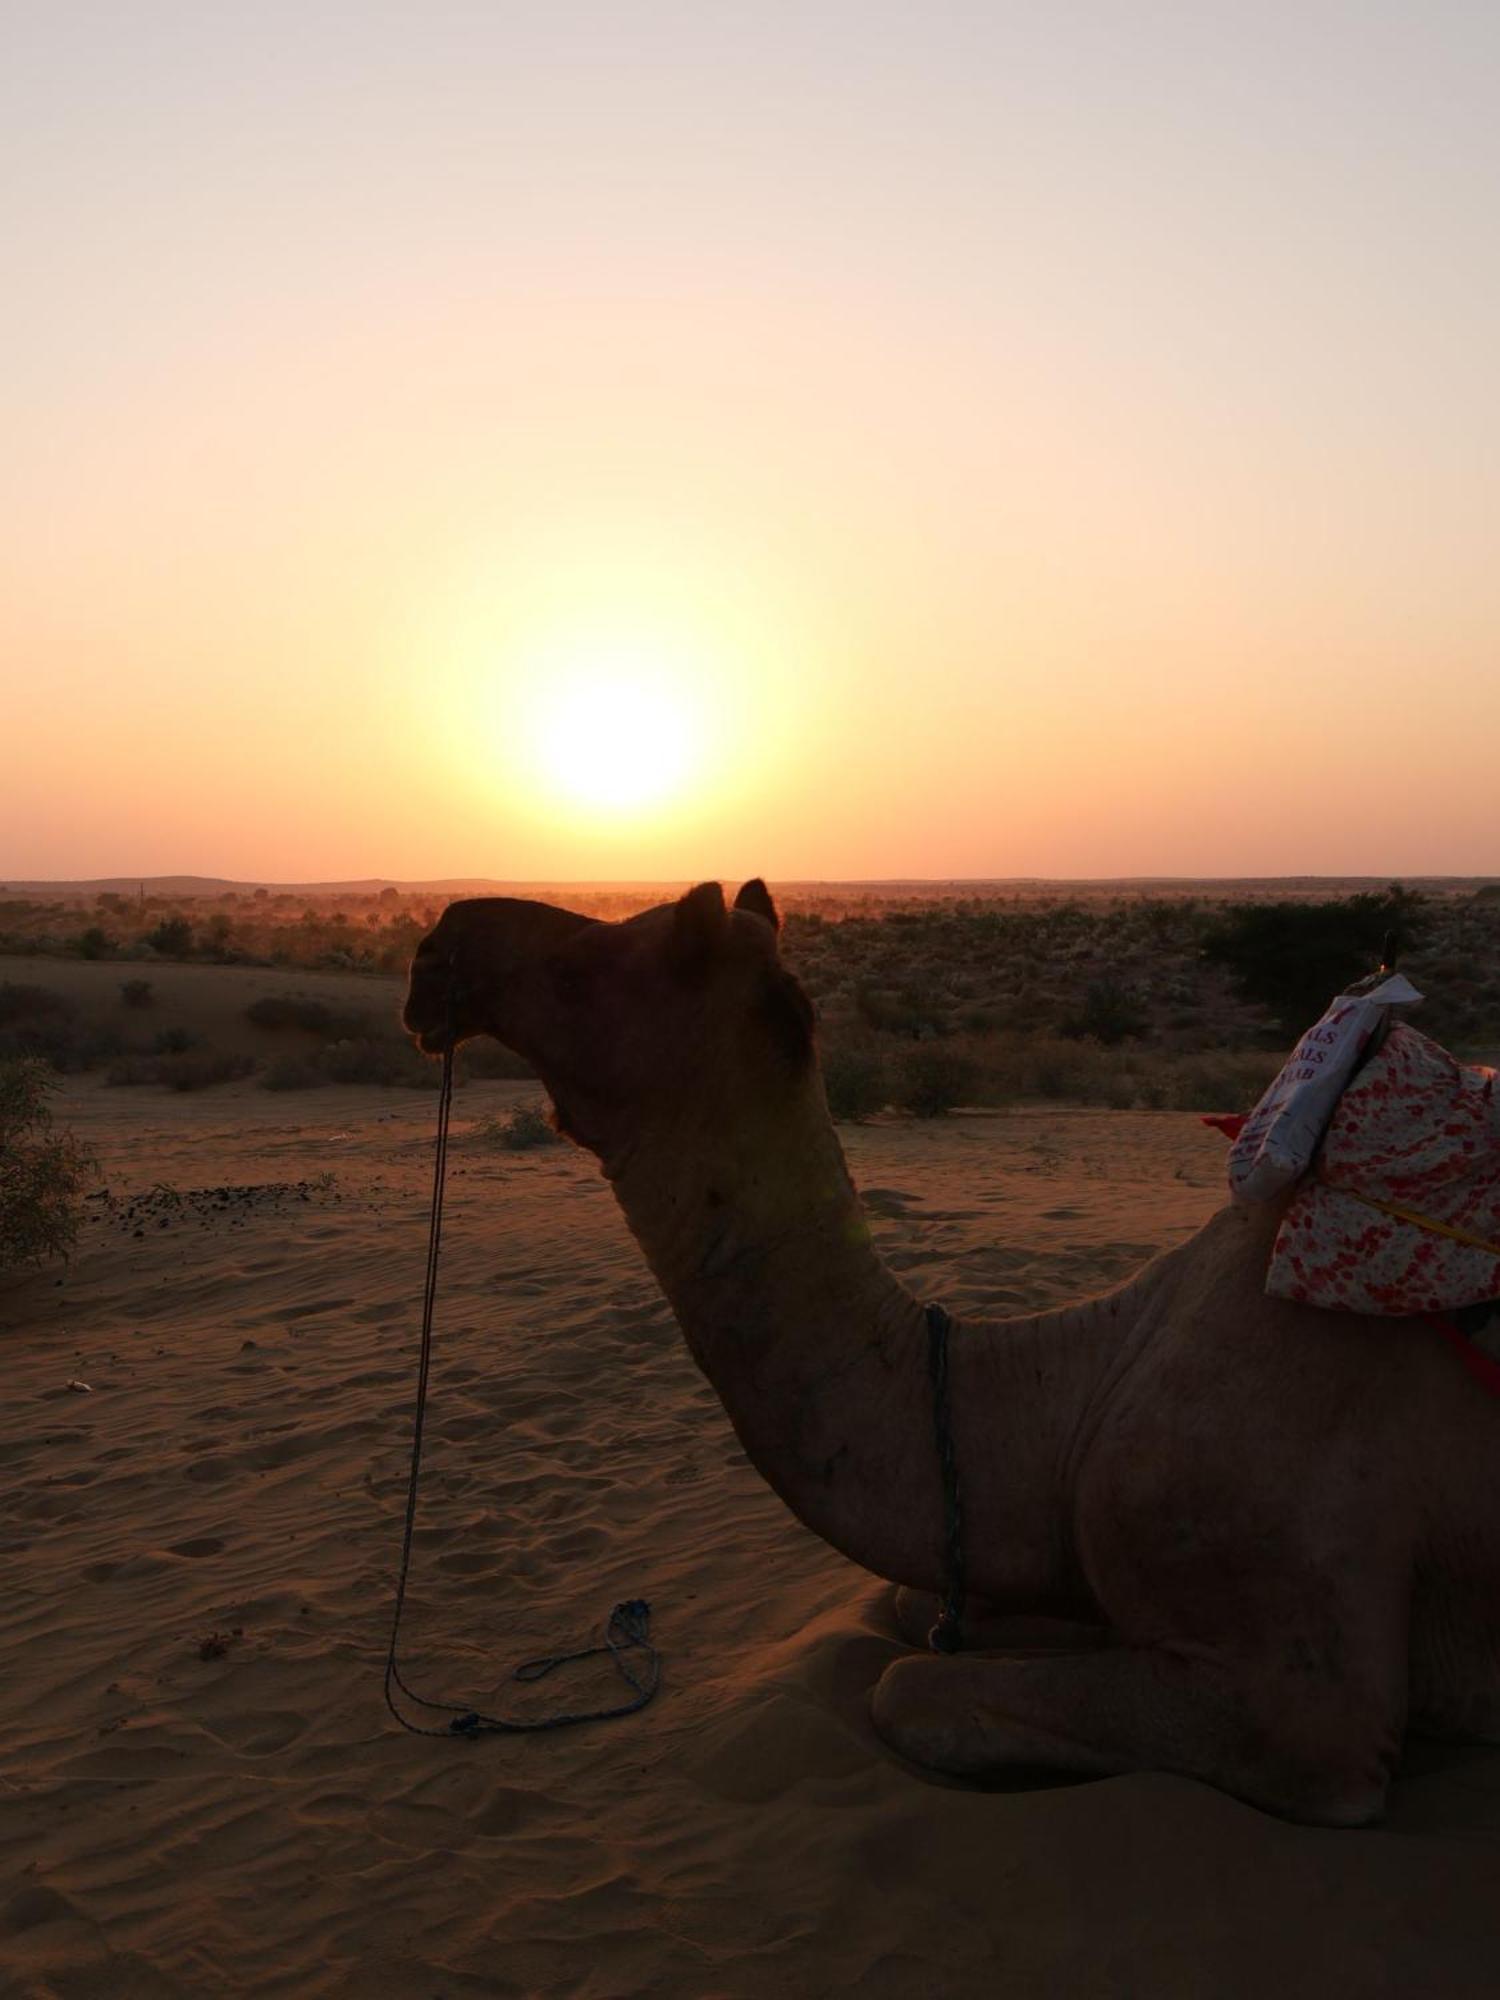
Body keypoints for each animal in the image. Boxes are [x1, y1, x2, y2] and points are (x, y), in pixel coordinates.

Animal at [400, 884, 1500, 1824]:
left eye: (584, 964)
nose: (436, 944)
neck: (1079, 1398)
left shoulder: (1309, 1705)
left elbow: (911, 1687)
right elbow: (916, 1601)